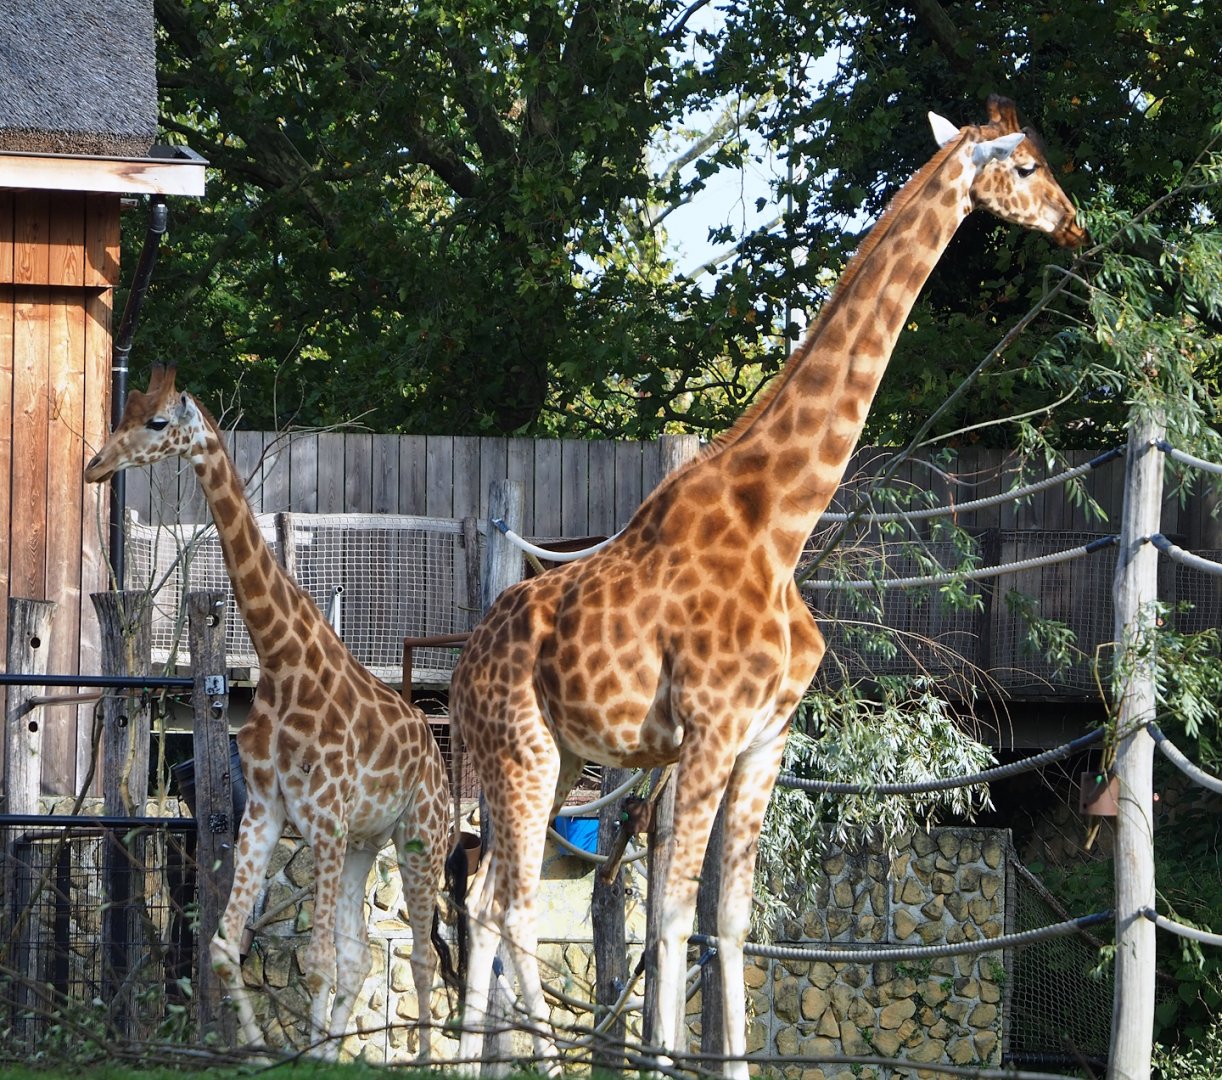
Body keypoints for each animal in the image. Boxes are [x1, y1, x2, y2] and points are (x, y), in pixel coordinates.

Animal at [85, 366, 456, 1059]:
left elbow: (315, 963)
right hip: (365, 843)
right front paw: (267, 1052)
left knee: (422, 956)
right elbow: (225, 947)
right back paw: (341, 1053)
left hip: (421, 834)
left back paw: (430, 1060)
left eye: (156, 422)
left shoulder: (324, 817)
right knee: (364, 955)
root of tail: (433, 746)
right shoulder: (268, 810)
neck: (282, 663)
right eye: (123, 414)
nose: (96, 466)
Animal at [448, 95, 1085, 1077]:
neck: (780, 526)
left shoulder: (764, 739)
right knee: (512, 906)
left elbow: (732, 922)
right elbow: (673, 918)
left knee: (482, 897)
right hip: (525, 752)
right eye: (1024, 168)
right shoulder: (709, 729)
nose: (1076, 225)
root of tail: (457, 667)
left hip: (544, 761)